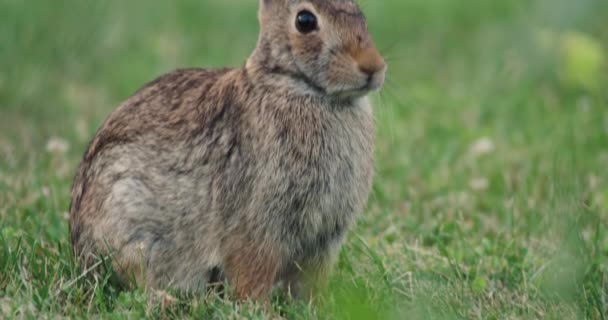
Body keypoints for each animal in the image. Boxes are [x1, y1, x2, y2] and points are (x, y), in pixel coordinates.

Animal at [70, 0, 384, 300]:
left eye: (359, 13)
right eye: (305, 21)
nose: (373, 67)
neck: (298, 87)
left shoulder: (324, 239)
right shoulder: (257, 225)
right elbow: (252, 277)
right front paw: (261, 309)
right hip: (130, 220)